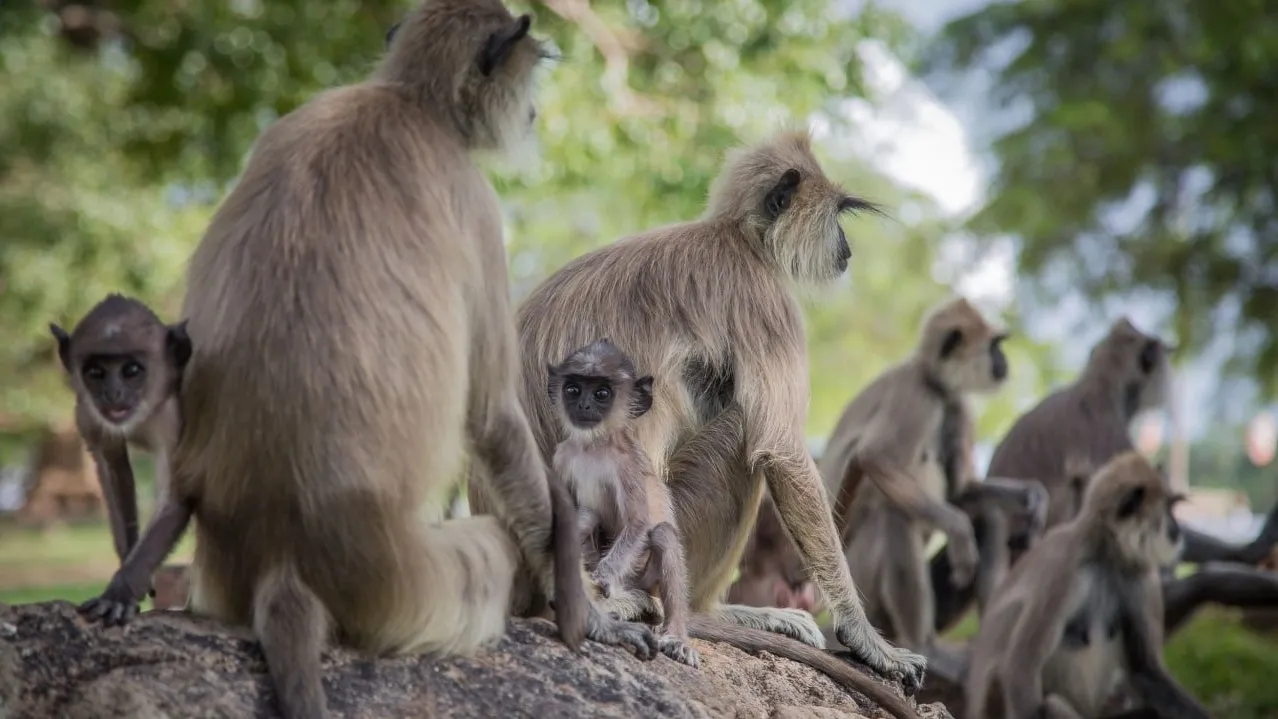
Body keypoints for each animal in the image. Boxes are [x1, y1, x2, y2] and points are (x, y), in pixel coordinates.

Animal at [48, 292, 187, 597]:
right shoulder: (88, 414)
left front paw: (122, 590)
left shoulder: (174, 416)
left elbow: (177, 494)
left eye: (131, 370)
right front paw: (129, 564)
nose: (113, 393)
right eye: (95, 372)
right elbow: (114, 468)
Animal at [546, 339, 700, 669]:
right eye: (573, 389)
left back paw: (677, 636)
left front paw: (602, 577)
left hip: (643, 576)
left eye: (602, 393)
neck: (592, 446)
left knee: (663, 534)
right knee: (588, 517)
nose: (584, 406)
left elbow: (639, 523)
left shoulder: (625, 464)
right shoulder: (562, 456)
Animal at [961, 452, 1211, 719]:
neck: (1106, 555)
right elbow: (1021, 665)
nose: (1177, 529)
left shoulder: (1141, 574)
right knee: (1050, 700)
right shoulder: (1064, 567)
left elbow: (1145, 670)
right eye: (1167, 509)